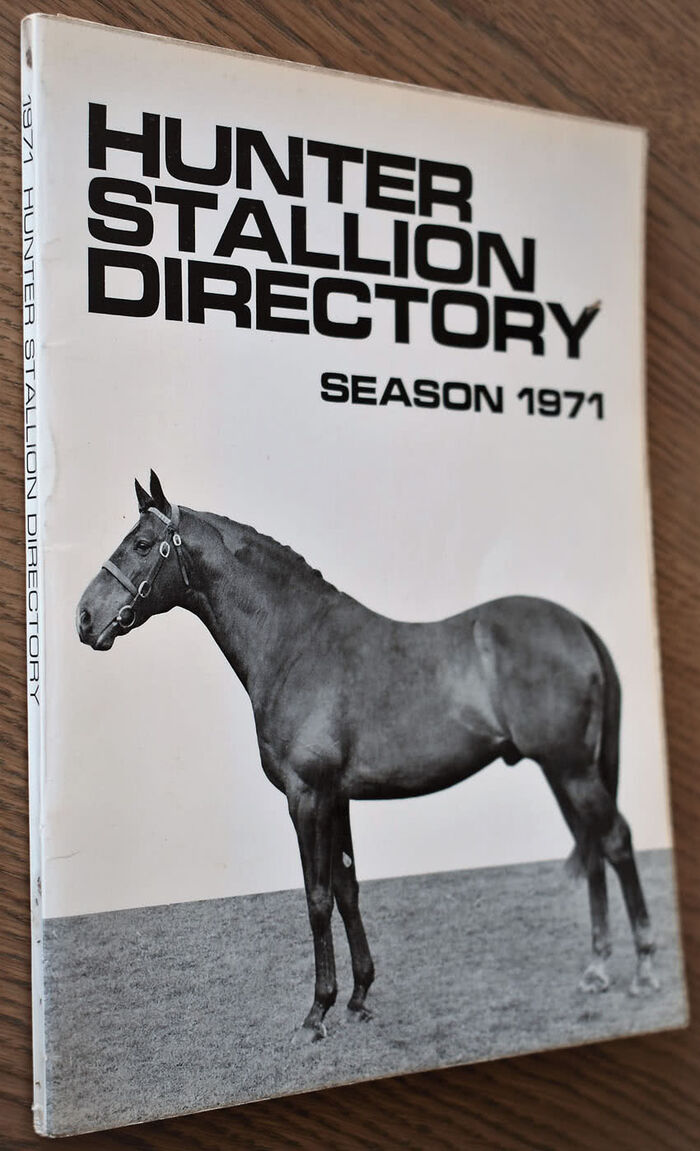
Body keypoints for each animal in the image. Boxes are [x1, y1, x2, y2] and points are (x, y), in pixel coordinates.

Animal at [77, 471, 659, 1039]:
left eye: (142, 544)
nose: (84, 618)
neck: (295, 644)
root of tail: (576, 627)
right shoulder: (337, 799)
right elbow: (347, 888)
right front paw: (358, 998)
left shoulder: (307, 797)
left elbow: (316, 897)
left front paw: (317, 1013)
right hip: (563, 773)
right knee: (593, 849)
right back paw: (597, 970)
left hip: (572, 769)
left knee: (615, 840)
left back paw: (644, 969)